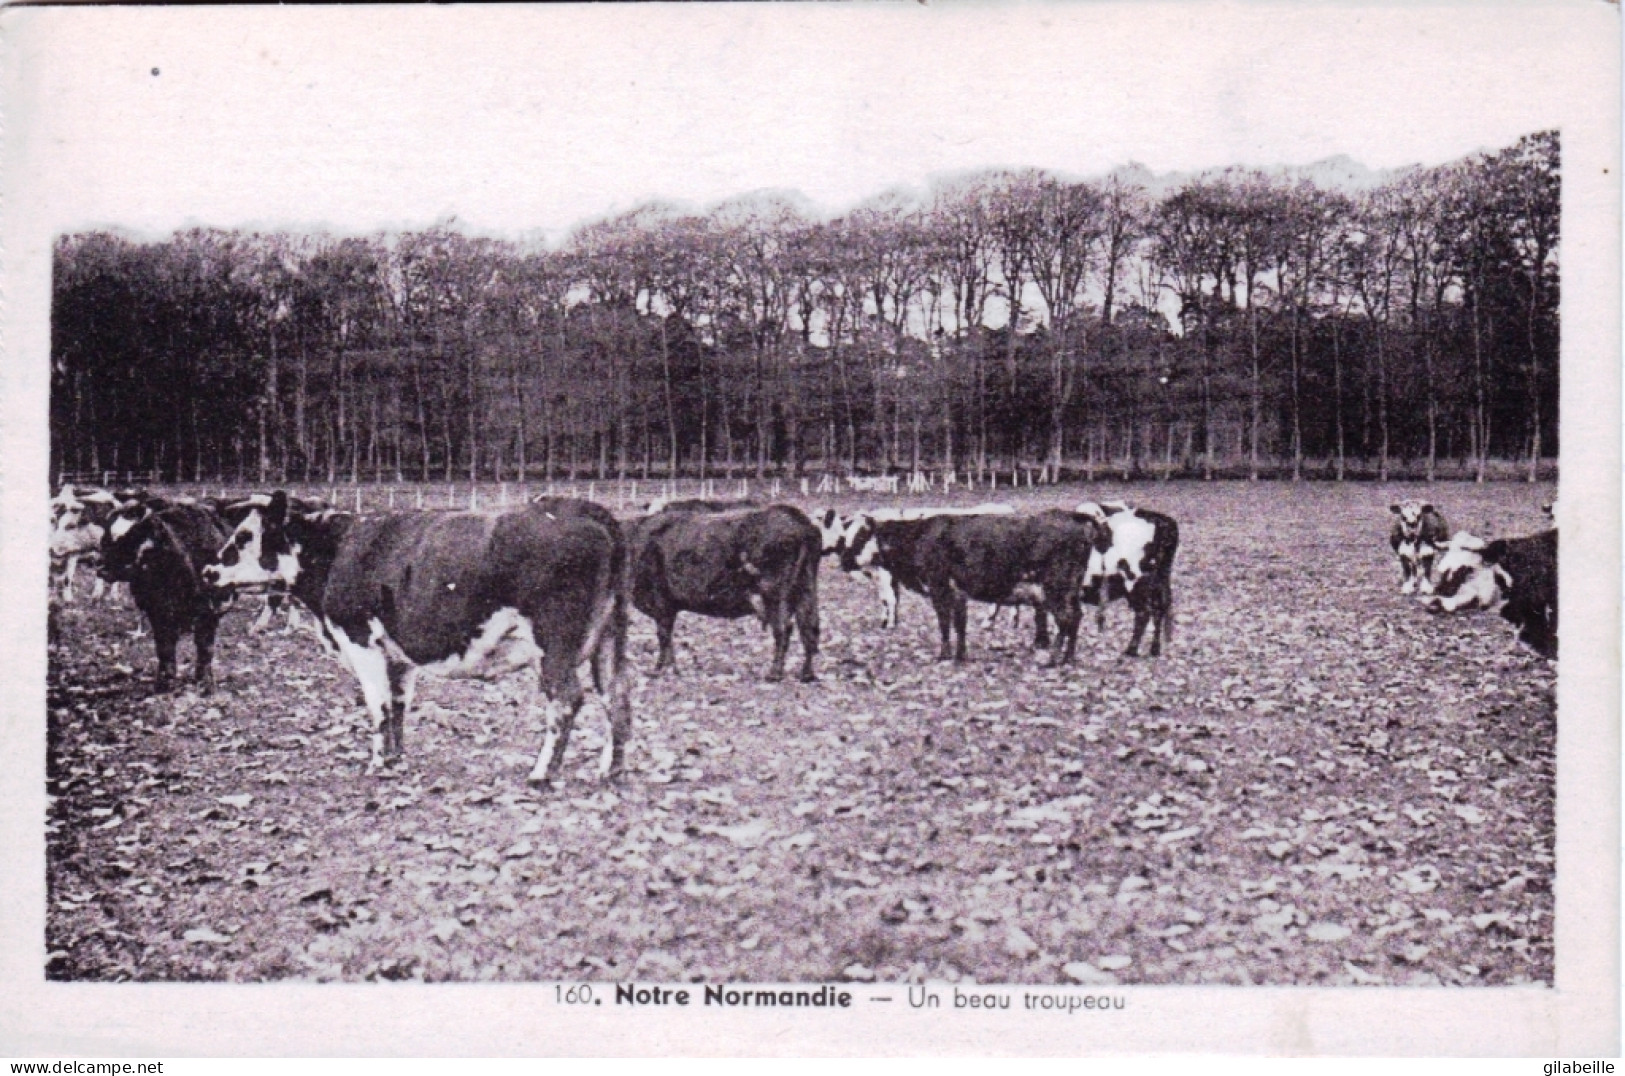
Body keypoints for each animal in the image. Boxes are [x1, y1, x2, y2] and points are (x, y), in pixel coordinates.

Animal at [97, 503, 230, 695]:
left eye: (132, 538)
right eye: (105, 538)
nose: (102, 568)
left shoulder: (211, 610)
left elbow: (205, 646)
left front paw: (205, 681)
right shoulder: (158, 611)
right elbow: (165, 645)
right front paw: (165, 681)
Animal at [201, 494, 627, 789]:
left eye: (244, 536)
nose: (207, 571)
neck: (337, 549)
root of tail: (581, 509)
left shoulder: (360, 639)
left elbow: (378, 706)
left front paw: (376, 764)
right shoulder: (398, 654)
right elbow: (398, 705)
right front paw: (396, 759)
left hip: (554, 644)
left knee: (567, 700)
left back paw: (541, 774)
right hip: (609, 636)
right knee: (616, 695)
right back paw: (611, 769)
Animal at [624, 500, 819, 682]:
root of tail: (796, 519)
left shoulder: (661, 601)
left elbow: (663, 635)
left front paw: (659, 669)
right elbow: (667, 637)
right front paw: (672, 669)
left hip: (774, 592)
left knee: (784, 628)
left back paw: (775, 673)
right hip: (806, 589)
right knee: (809, 626)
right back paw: (807, 674)